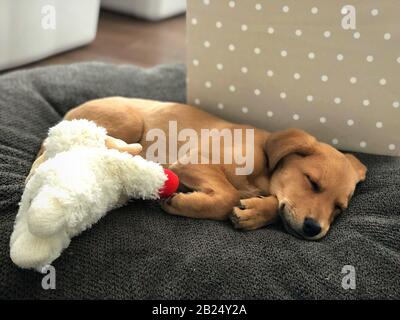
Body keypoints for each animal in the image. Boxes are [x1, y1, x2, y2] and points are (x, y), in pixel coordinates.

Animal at [28, 97, 366, 240]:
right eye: (312, 182)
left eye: (339, 208)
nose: (313, 229)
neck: (263, 168)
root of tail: (68, 112)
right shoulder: (193, 161)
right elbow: (227, 195)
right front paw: (183, 203)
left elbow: (272, 204)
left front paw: (256, 212)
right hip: (128, 121)